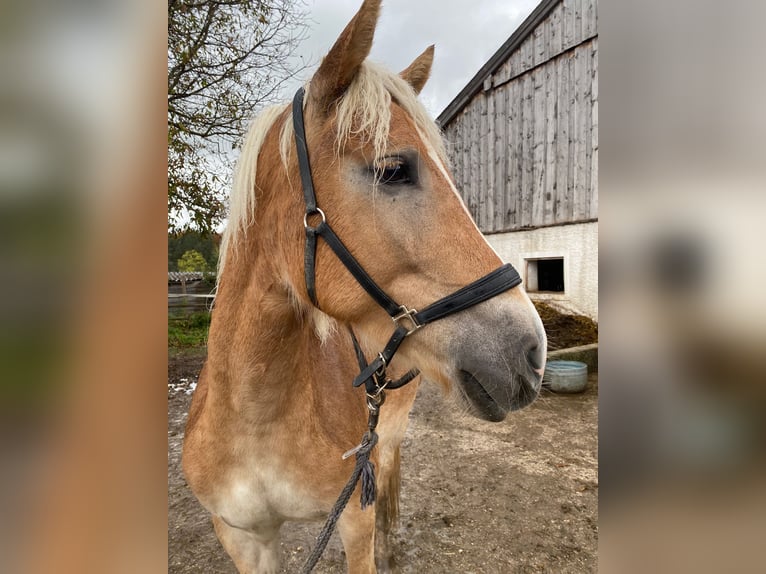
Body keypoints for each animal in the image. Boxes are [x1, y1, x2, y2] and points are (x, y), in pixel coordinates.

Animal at [183, 2, 548, 572]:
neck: (254, 418)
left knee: (391, 464)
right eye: (393, 169)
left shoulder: (352, 518)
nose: (532, 352)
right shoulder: (242, 539)